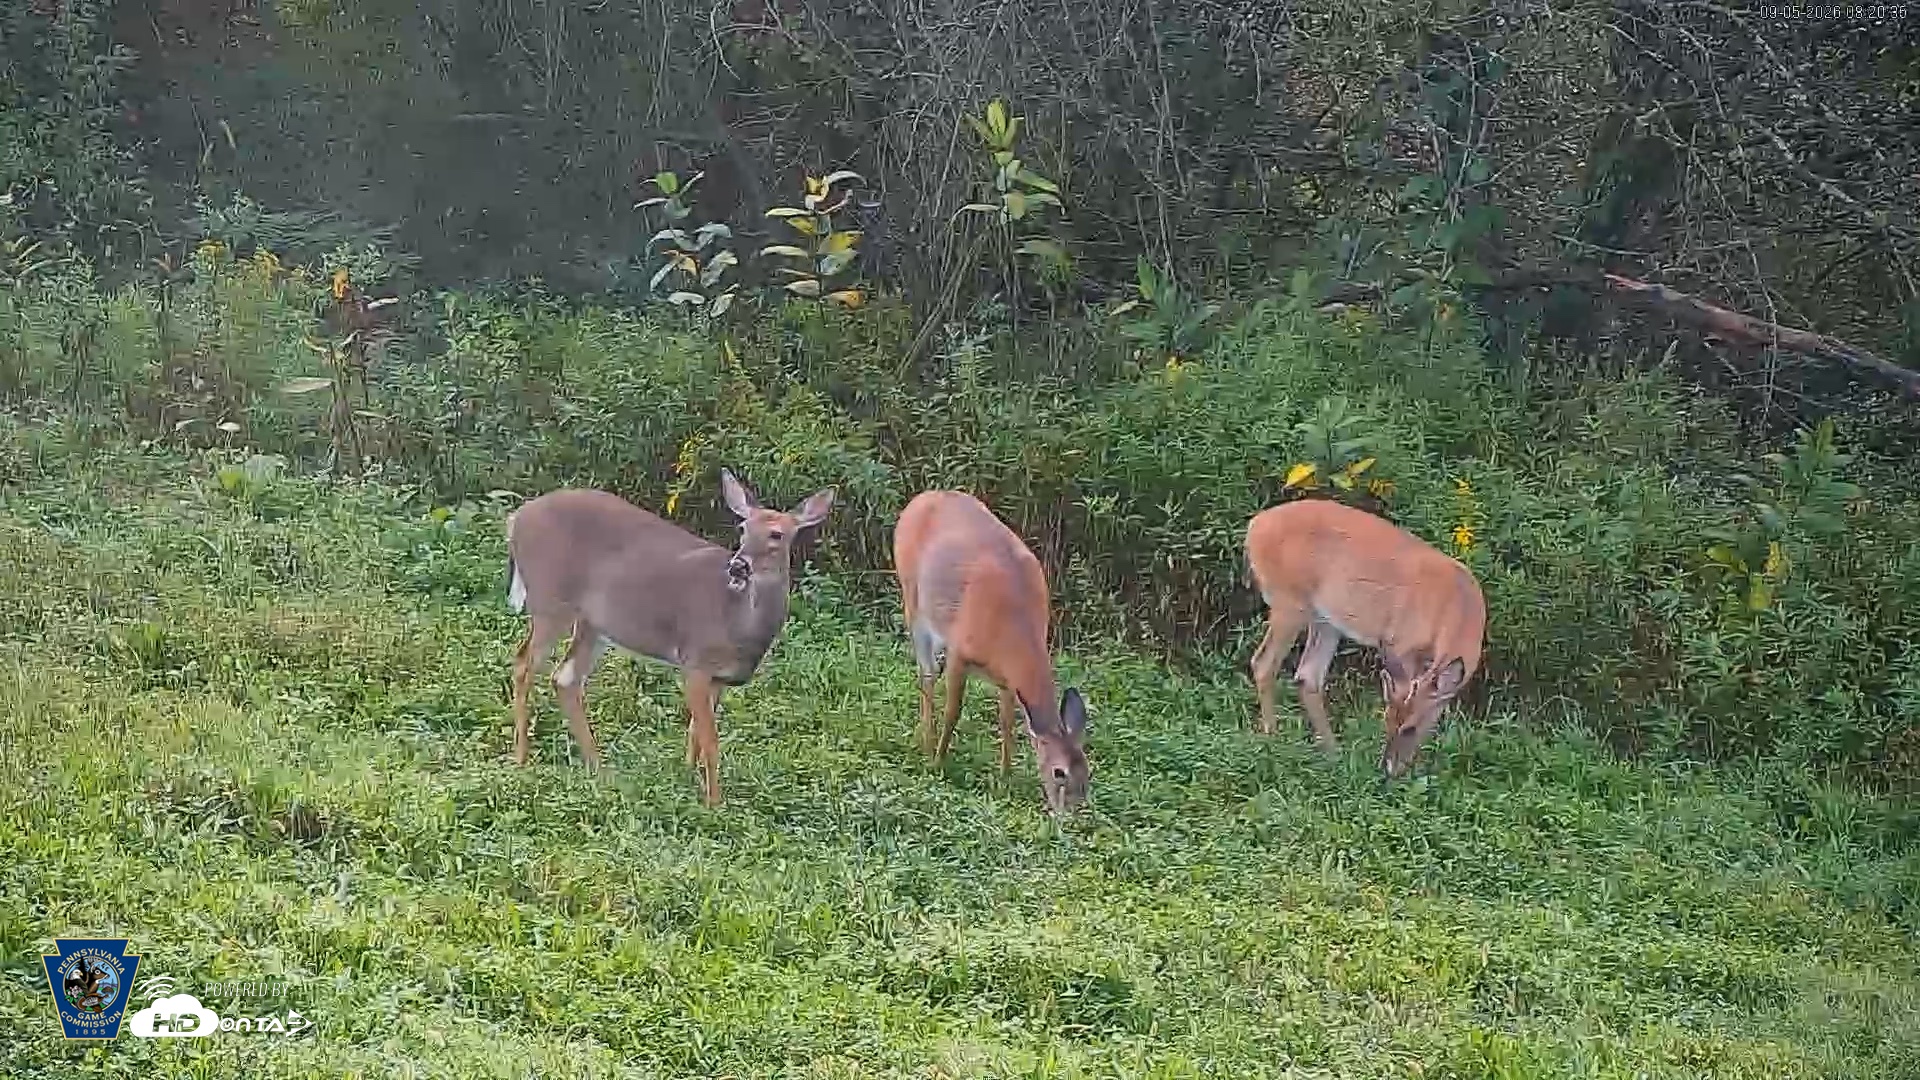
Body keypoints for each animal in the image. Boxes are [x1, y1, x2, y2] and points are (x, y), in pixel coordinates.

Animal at [504, 470, 835, 806]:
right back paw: (522, 758)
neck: (739, 623)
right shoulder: (695, 660)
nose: (738, 566)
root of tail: (517, 518)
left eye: (777, 534)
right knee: (523, 664)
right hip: (550, 598)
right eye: (743, 528)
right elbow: (710, 739)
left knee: (565, 678)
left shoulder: (719, 677)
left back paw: (600, 769)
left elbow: (695, 733)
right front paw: (714, 803)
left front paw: (688, 778)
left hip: (594, 623)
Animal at [892, 490, 1089, 814]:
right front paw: (938, 762)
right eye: (1059, 772)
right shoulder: (960, 652)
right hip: (913, 600)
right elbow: (953, 711)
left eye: (1088, 772)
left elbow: (1007, 722)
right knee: (927, 673)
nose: (1072, 813)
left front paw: (1005, 776)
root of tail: (920, 498)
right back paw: (926, 741)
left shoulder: (1008, 681)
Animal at [1244, 497, 1487, 778]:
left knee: (1308, 675)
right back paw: (1272, 738)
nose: (1389, 770)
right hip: (1289, 603)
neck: (1457, 606)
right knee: (1264, 663)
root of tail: (1254, 526)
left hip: (1326, 620)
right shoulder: (1402, 644)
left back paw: (1333, 753)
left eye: (1411, 728)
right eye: (1387, 718)